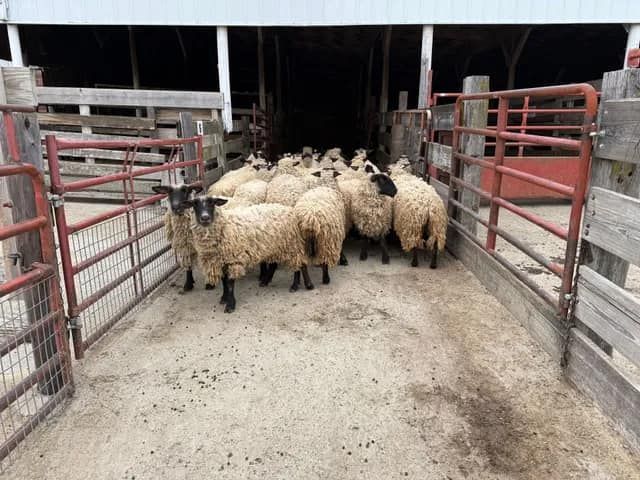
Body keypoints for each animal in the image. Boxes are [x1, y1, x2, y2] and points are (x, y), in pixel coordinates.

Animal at [183, 196, 314, 312]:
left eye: (212, 202)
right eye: (195, 204)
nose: (205, 218)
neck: (224, 226)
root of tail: (289, 210)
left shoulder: (233, 259)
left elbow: (230, 283)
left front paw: (230, 305)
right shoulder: (221, 261)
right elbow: (224, 282)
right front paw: (224, 298)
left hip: (292, 244)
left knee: (300, 264)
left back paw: (301, 285)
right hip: (275, 246)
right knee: (276, 264)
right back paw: (266, 281)